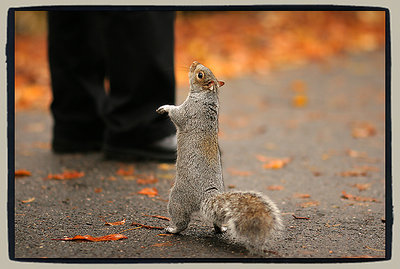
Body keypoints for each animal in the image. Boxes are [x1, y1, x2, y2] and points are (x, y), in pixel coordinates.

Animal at [155, 60, 282, 253]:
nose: (193, 63)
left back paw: (173, 229)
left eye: (200, 75)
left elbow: (177, 114)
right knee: (217, 218)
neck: (207, 95)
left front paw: (165, 108)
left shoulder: (189, 111)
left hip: (177, 198)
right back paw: (220, 228)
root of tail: (207, 195)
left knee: (181, 219)